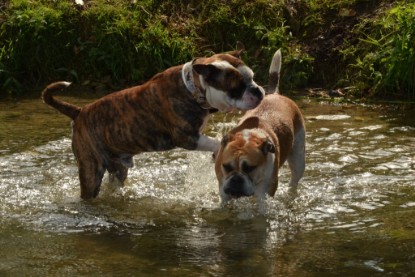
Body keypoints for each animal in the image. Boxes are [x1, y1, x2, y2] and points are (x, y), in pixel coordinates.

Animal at [41, 50, 264, 198]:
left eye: (253, 77)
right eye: (237, 87)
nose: (258, 91)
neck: (192, 87)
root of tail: (79, 112)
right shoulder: (187, 138)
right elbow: (215, 142)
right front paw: (220, 148)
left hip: (117, 166)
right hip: (90, 169)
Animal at [214, 49, 306, 202]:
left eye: (249, 168)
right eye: (226, 167)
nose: (236, 179)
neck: (247, 137)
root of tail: (274, 94)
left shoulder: (265, 193)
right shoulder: (223, 189)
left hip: (299, 158)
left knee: (294, 180)